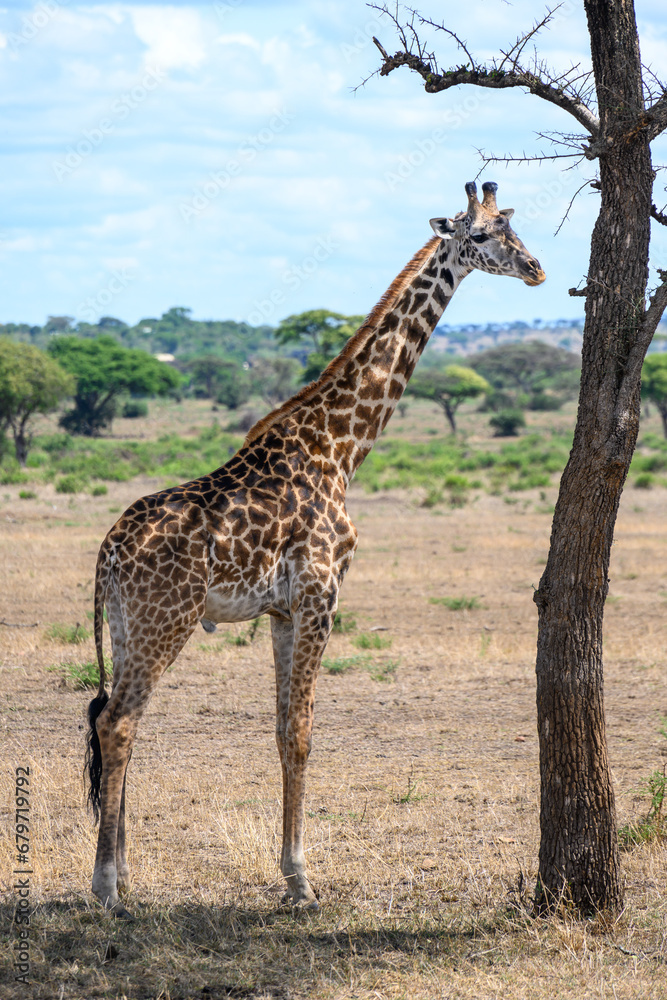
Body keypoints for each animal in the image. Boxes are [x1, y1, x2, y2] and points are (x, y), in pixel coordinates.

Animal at [85, 181, 545, 917]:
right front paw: (301, 880)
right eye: (477, 236)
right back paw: (107, 887)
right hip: (167, 619)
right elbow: (302, 733)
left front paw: (292, 872)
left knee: (114, 719)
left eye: (510, 225)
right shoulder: (320, 595)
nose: (535, 269)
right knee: (120, 724)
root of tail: (107, 552)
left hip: (130, 623)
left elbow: (280, 730)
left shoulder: (280, 609)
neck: (342, 448)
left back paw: (125, 874)